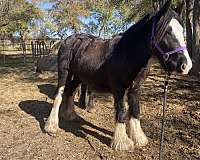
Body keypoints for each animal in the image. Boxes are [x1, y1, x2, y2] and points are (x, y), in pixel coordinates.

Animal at [44, 0, 192, 151]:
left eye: (182, 30)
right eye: (167, 31)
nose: (186, 65)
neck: (127, 53)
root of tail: (68, 40)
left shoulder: (135, 89)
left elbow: (135, 111)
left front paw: (138, 138)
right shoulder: (119, 89)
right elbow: (121, 110)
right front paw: (122, 142)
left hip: (78, 76)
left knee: (70, 92)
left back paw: (70, 116)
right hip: (64, 73)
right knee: (59, 94)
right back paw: (51, 126)